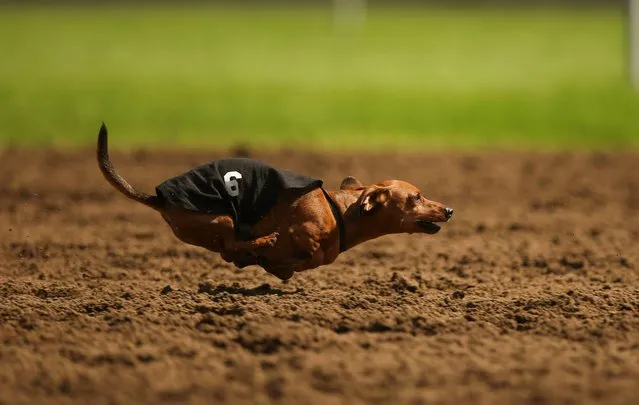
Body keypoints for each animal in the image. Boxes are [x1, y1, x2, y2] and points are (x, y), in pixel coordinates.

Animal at [97, 124, 452, 280]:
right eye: (416, 197)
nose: (448, 210)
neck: (338, 210)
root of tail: (159, 198)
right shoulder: (303, 234)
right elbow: (306, 255)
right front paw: (274, 259)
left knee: (230, 249)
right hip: (222, 216)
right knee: (230, 245)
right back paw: (262, 242)